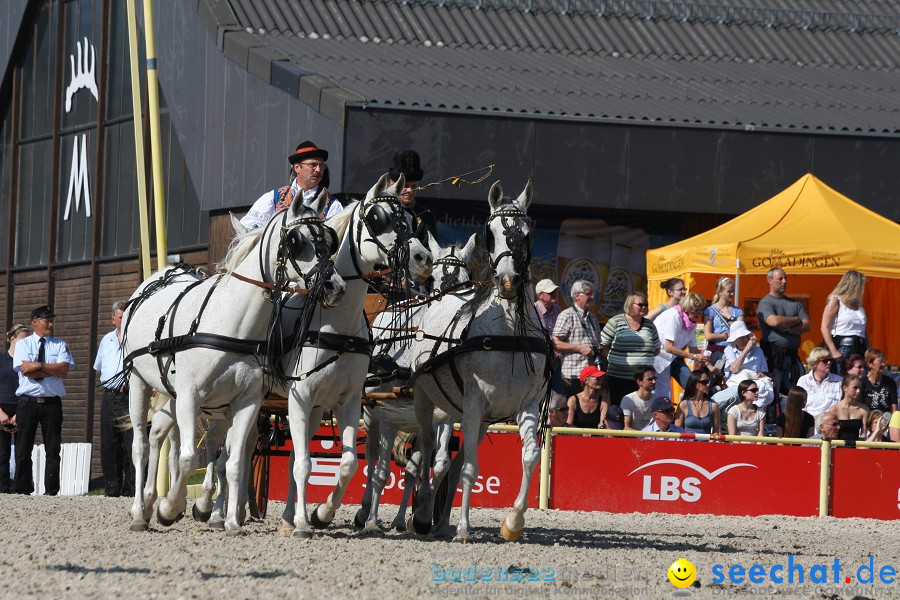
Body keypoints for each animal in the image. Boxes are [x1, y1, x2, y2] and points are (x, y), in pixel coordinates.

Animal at [121, 192, 342, 536]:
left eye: (330, 241)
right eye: (297, 241)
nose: (334, 287)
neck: (231, 324)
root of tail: (157, 278)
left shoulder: (247, 401)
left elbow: (235, 462)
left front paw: (230, 521)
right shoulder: (190, 396)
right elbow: (188, 458)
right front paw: (170, 509)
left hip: (172, 393)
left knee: (160, 434)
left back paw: (151, 502)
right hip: (138, 382)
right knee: (142, 446)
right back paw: (139, 513)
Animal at [280, 173, 434, 540]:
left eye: (410, 220)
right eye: (378, 219)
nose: (423, 260)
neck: (336, 325)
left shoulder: (346, 400)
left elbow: (348, 464)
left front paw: (321, 514)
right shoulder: (299, 396)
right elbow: (306, 463)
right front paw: (307, 522)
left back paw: (288, 517)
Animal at [356, 234, 478, 536]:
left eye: (468, 279)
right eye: (434, 279)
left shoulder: (443, 416)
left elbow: (440, 464)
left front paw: (422, 517)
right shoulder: (387, 415)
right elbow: (380, 472)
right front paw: (372, 520)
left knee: (412, 467)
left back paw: (401, 520)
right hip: (371, 413)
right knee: (371, 456)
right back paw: (364, 512)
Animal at [406, 179, 548, 544]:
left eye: (527, 233)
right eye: (491, 233)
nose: (509, 281)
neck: (508, 333)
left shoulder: (525, 404)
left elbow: (529, 457)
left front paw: (513, 522)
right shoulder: (472, 401)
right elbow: (468, 468)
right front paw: (463, 529)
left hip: (479, 419)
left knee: (449, 462)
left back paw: (438, 520)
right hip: (427, 401)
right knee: (424, 451)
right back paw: (423, 512)